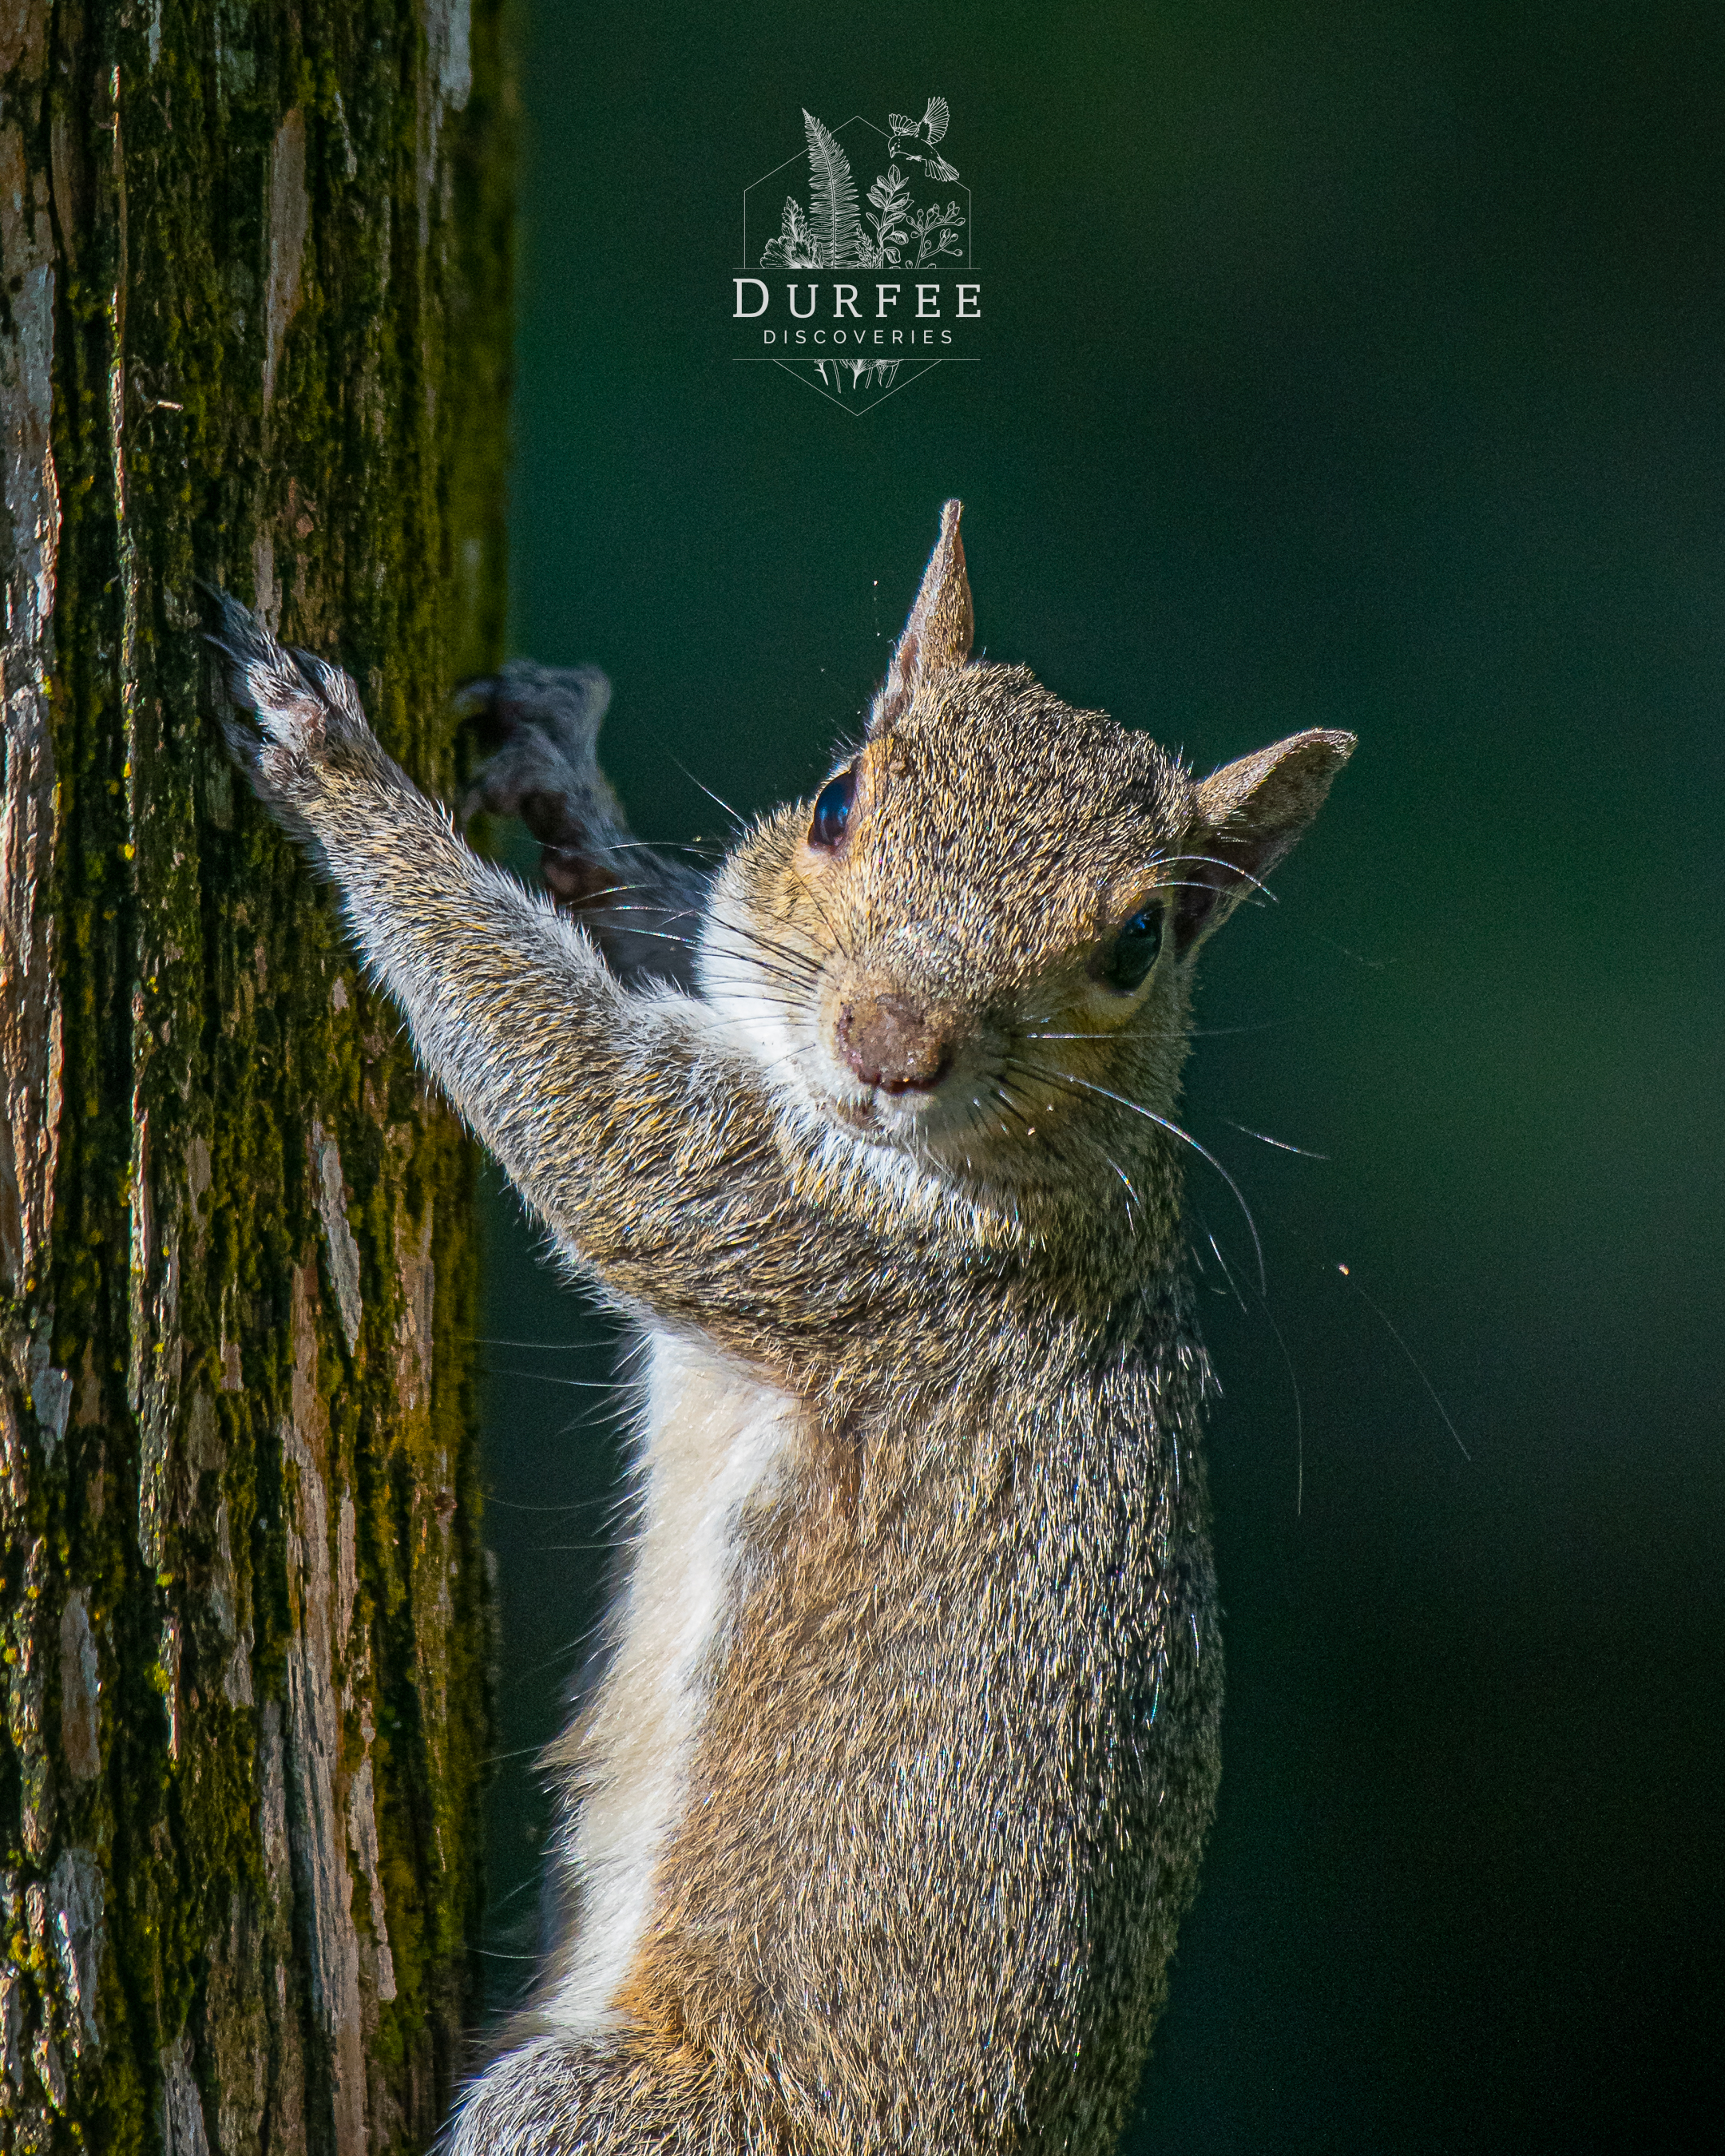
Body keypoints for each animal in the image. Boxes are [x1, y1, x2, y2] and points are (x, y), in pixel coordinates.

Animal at [209, 502, 1352, 2154]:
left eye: (1141, 940)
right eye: (835, 799)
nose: (889, 1042)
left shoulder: (839, 1241)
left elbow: (592, 1115)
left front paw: (340, 775)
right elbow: (675, 942)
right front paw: (562, 781)